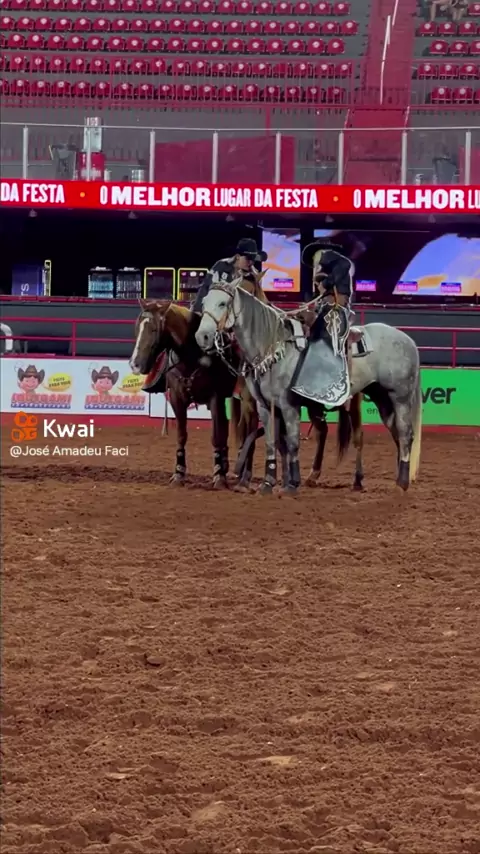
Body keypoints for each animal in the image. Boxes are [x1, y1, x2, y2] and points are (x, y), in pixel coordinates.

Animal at [129, 299, 245, 488]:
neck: (193, 357)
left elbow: (215, 436)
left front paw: (219, 476)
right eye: (137, 327)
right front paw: (179, 473)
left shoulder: (215, 398)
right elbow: (181, 435)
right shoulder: (177, 399)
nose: (135, 364)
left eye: (154, 329)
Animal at [195, 283, 422, 493]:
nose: (202, 336)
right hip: (381, 398)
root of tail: (408, 340)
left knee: (404, 433)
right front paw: (268, 483)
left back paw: (401, 482)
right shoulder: (265, 406)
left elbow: (293, 442)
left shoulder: (289, 405)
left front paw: (292, 484)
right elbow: (271, 442)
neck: (273, 346)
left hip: (399, 398)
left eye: (222, 303)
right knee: (394, 434)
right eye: (205, 302)